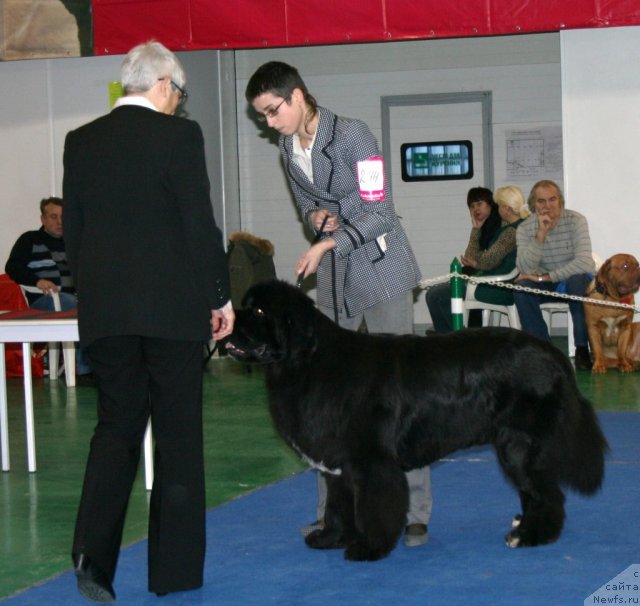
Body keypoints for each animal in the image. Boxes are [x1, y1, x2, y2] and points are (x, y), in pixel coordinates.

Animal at [226, 282, 608, 564]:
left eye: (259, 311)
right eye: (246, 305)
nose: (226, 322)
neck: (308, 361)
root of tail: (553, 355)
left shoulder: (372, 462)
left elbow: (372, 506)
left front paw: (369, 547)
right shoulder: (337, 464)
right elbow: (336, 505)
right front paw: (329, 537)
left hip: (521, 444)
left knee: (547, 493)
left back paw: (530, 536)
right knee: (534, 489)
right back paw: (523, 523)